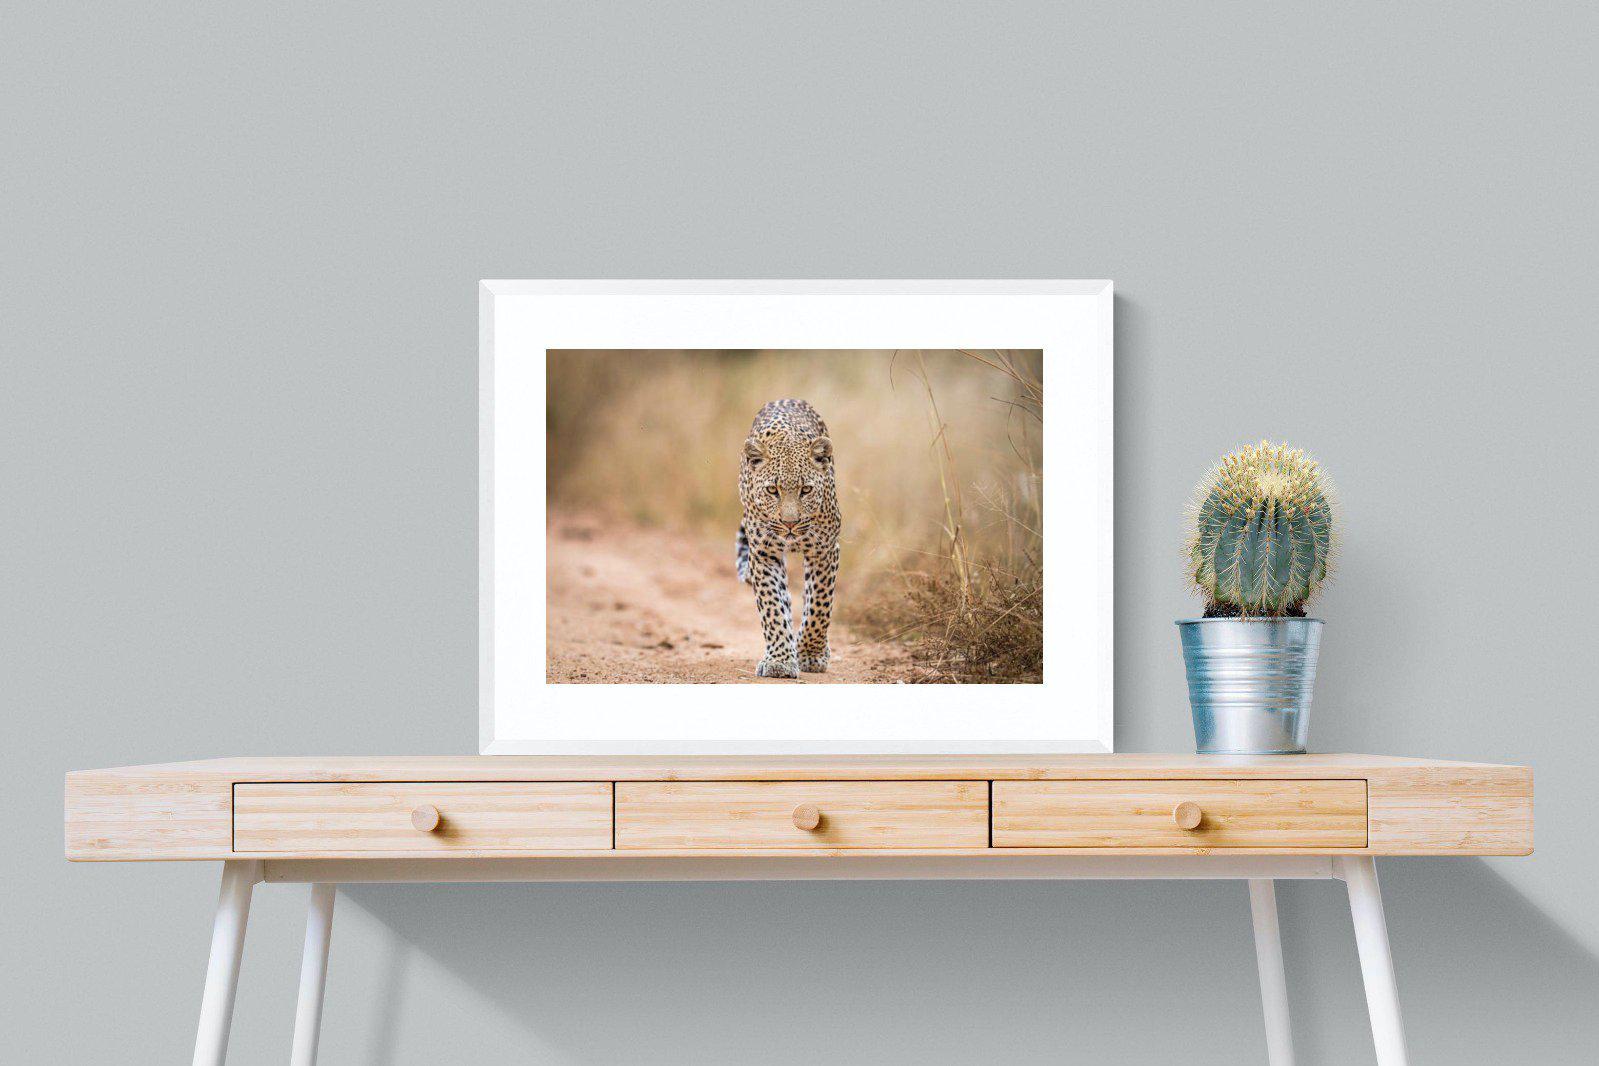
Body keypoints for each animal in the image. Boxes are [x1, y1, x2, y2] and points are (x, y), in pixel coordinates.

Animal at [735, 398, 841, 679]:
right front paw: (780, 661)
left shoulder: (825, 550)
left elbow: (819, 606)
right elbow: (772, 606)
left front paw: (811, 655)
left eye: (806, 490)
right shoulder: (763, 554)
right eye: (773, 490)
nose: (789, 523)